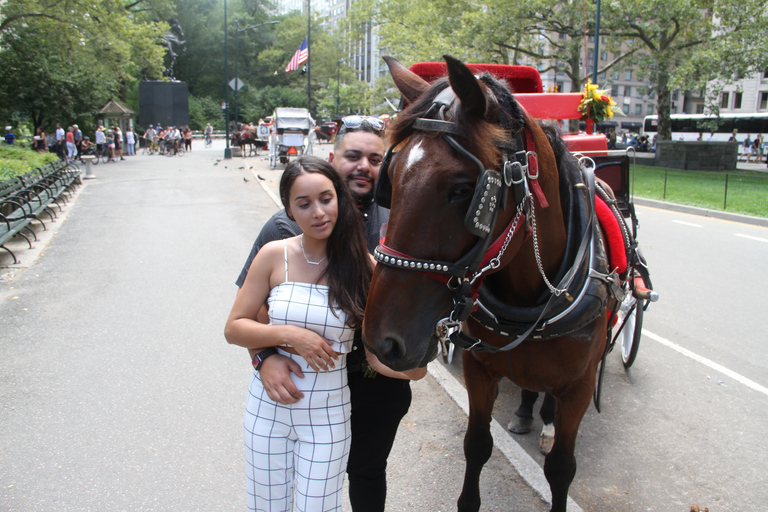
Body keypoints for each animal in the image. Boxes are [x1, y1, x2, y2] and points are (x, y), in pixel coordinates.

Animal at [364, 54, 620, 510]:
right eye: (389, 177)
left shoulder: (579, 387)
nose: (382, 342)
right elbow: (477, 445)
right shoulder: (479, 369)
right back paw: (525, 411)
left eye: (464, 189)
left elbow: (561, 469)